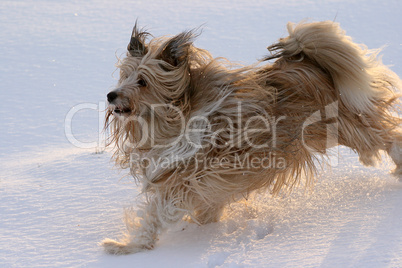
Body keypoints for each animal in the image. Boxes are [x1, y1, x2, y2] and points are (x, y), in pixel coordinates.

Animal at [102, 20, 400, 253]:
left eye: (142, 82)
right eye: (124, 76)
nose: (111, 95)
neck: (176, 117)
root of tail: (311, 61)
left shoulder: (187, 176)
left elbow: (156, 214)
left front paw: (128, 246)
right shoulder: (207, 179)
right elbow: (205, 205)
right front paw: (203, 224)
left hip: (347, 125)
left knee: (388, 136)